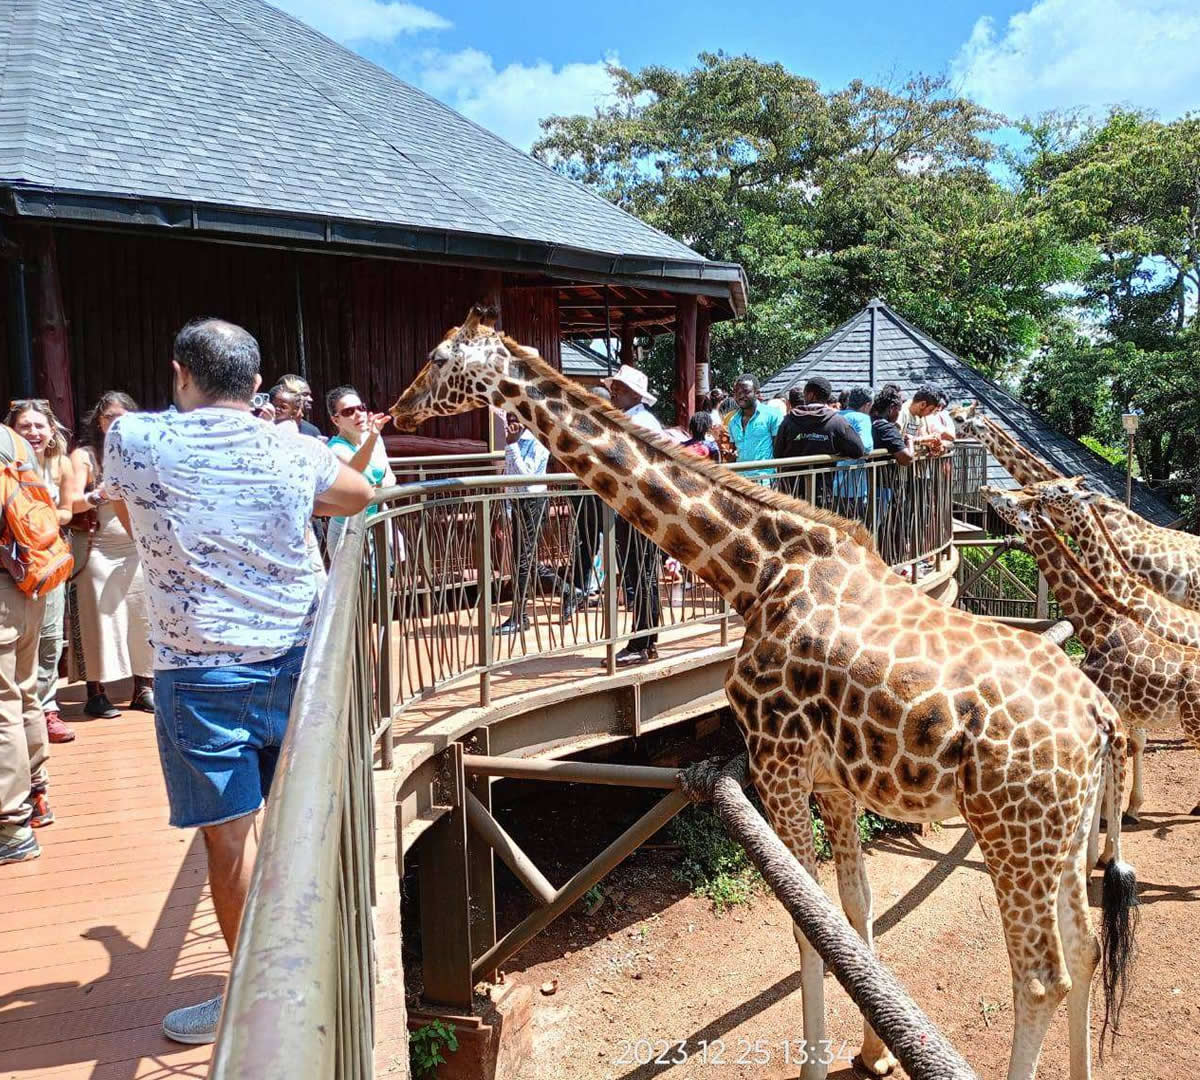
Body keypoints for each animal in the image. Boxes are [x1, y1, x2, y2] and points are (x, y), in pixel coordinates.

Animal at [389, 306, 1137, 1080]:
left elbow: (807, 925)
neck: (757, 571)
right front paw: (872, 1052)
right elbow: (853, 912)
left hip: (1012, 830)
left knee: (1040, 977)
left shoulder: (777, 761)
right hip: (1064, 832)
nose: (397, 409)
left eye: (438, 359)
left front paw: (813, 1063)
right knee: (1085, 946)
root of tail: (1098, 716)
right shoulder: (832, 780)